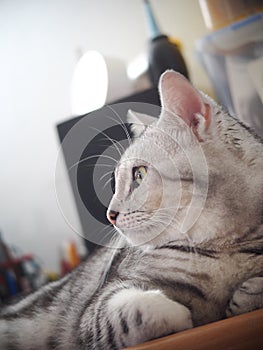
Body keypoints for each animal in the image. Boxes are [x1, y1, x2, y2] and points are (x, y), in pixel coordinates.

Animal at [0, 69, 263, 348]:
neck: (226, 249)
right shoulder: (98, 308)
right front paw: (189, 313)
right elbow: (149, 310)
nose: (110, 215)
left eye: (140, 174)